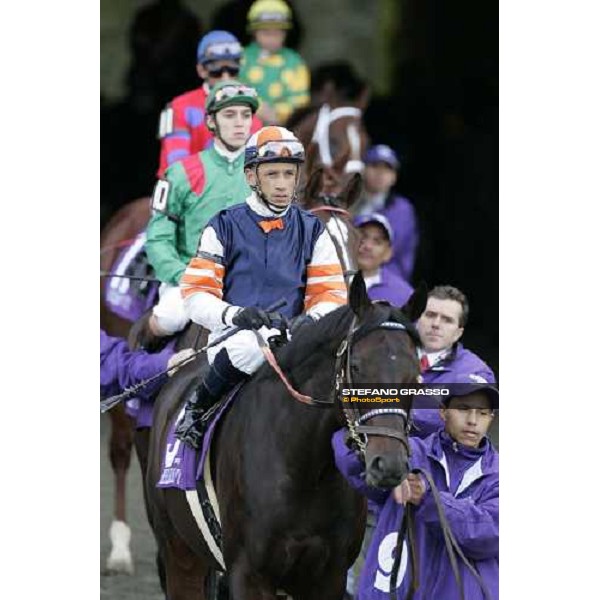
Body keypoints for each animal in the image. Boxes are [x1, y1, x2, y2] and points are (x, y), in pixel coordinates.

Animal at [145, 274, 426, 600]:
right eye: (356, 367)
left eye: (415, 375)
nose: (388, 464)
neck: (305, 469)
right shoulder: (249, 575)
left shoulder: (328, 577)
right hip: (179, 552)